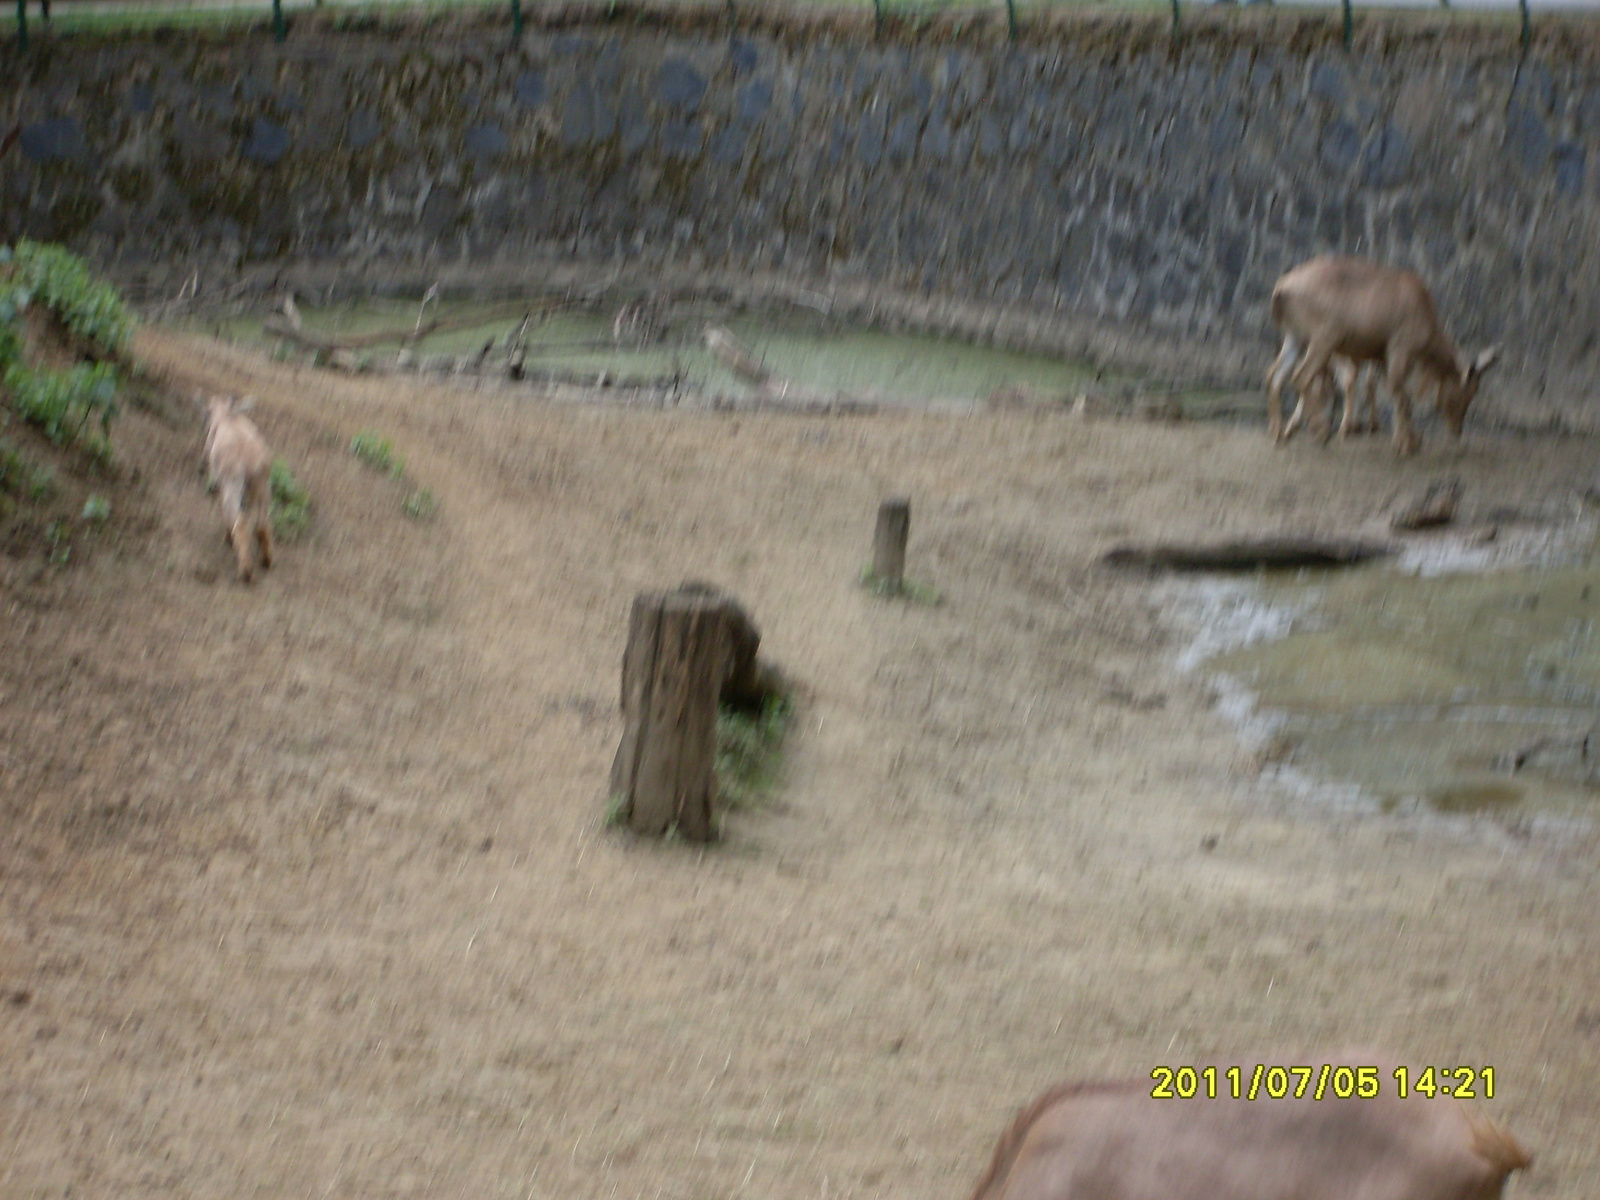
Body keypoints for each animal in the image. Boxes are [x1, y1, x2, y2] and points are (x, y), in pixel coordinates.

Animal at [200, 396, 275, 585]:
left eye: (209, 410)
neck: (227, 417)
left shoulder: (221, 481)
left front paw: (228, 536)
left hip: (233, 485)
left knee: (241, 522)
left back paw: (246, 570)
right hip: (262, 486)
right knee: (262, 522)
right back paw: (267, 559)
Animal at [1260, 256, 1497, 457]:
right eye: (1468, 392)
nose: (1457, 430)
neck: (1423, 309)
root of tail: (1282, 288)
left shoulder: (1383, 356)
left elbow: (1392, 391)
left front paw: (1408, 440)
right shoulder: (1401, 349)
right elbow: (1402, 395)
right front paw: (1407, 445)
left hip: (1295, 337)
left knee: (1275, 374)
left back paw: (1279, 432)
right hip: (1323, 340)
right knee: (1301, 376)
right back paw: (1321, 431)